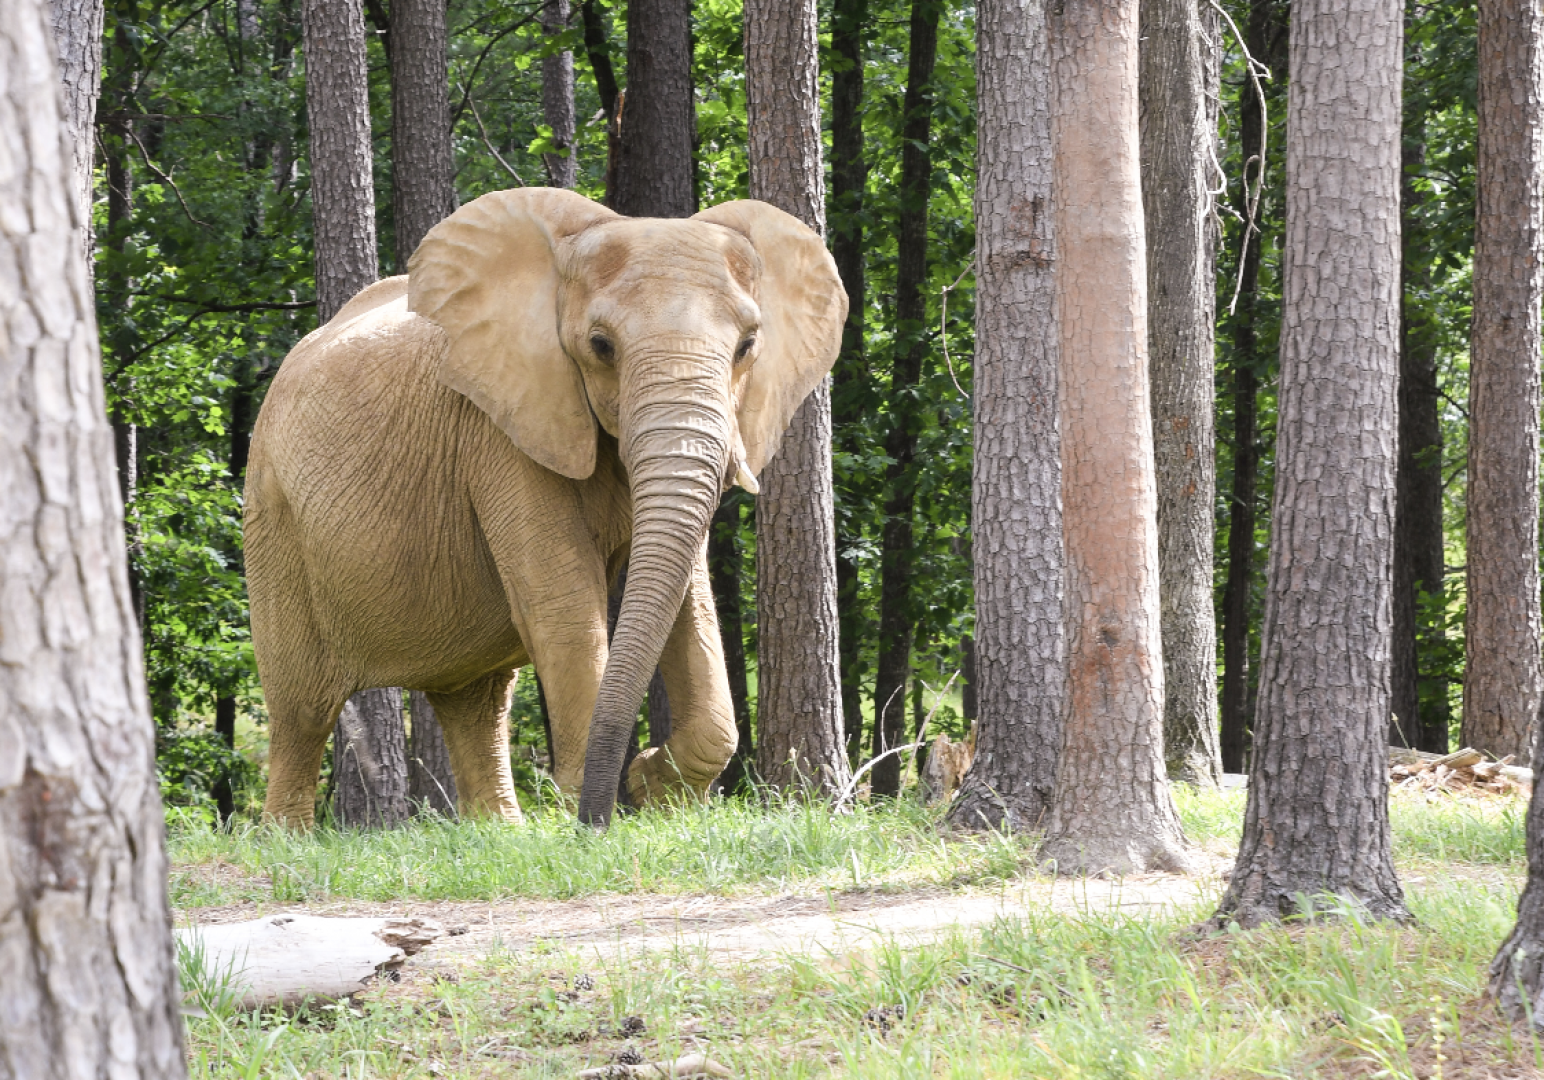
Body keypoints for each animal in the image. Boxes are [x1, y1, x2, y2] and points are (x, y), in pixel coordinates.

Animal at [246, 188, 846, 828]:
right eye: (601, 346)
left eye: (747, 346)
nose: (602, 814)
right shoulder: (500, 428)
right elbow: (564, 606)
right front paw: (603, 806)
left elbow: (690, 599)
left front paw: (655, 788)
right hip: (272, 512)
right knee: (303, 707)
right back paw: (287, 838)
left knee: (477, 701)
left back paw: (498, 833)